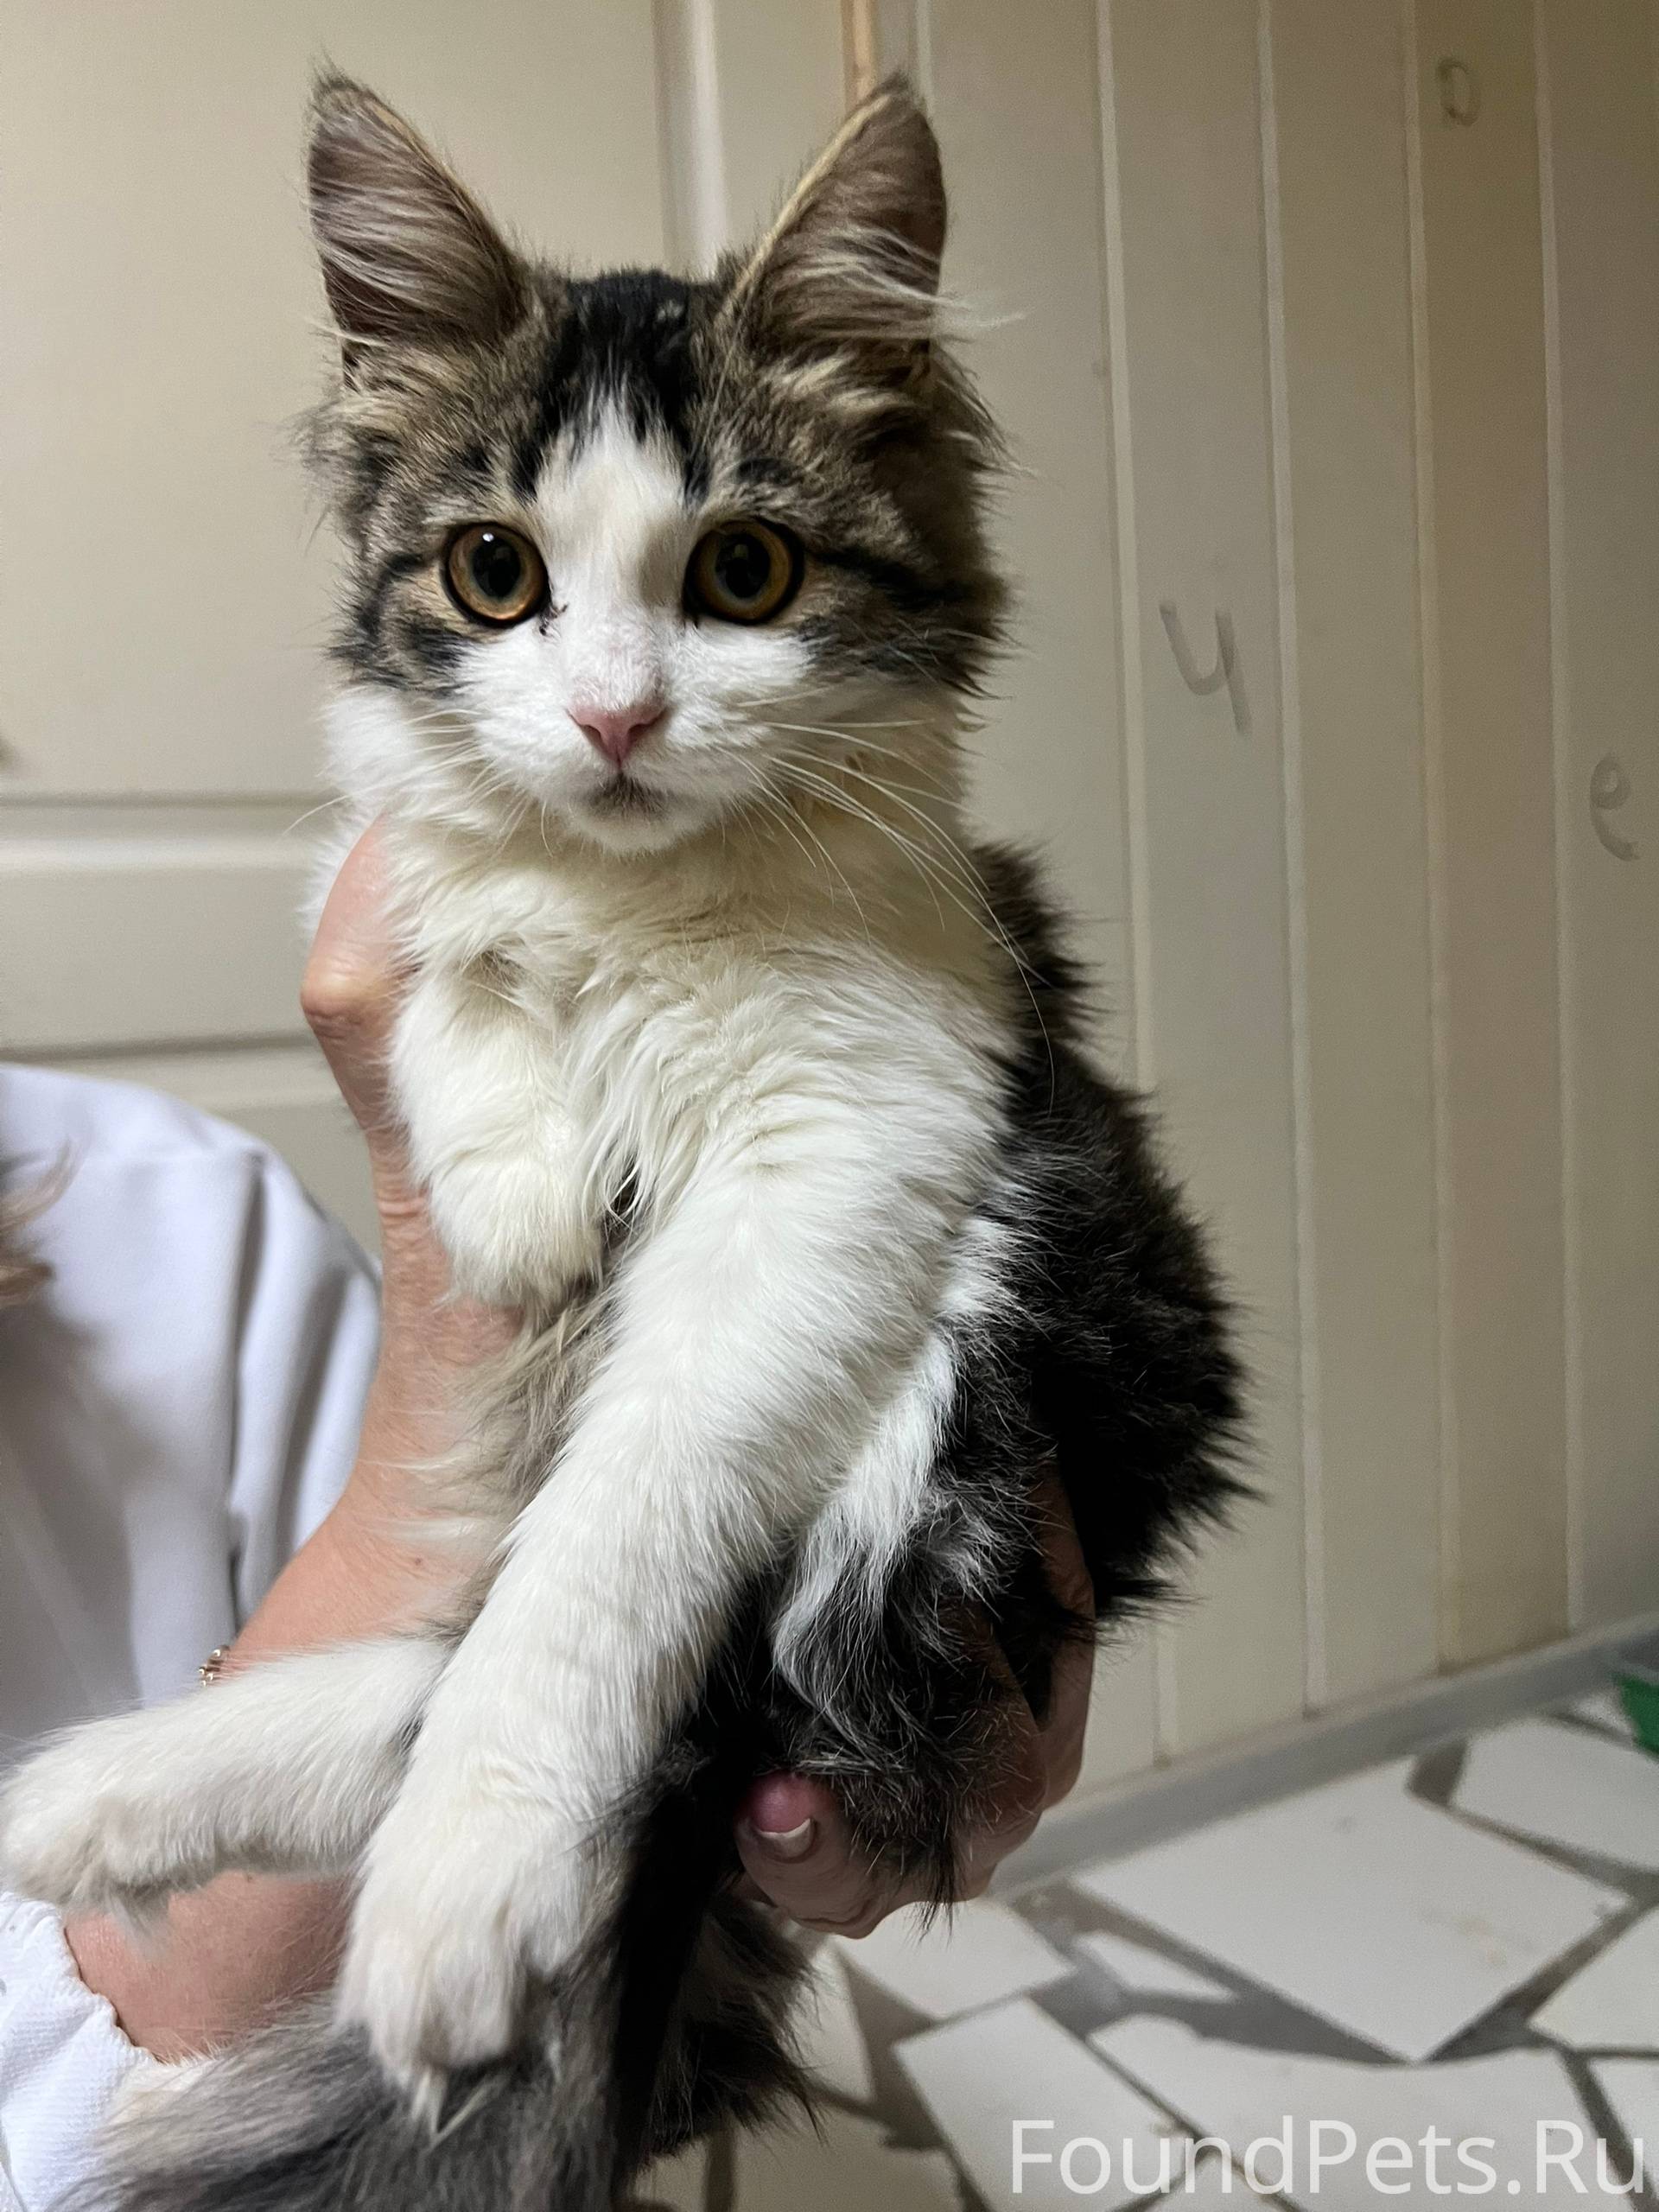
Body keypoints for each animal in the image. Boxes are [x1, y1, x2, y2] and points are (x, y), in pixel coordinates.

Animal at [0, 72, 1241, 2212]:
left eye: (743, 573)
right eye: (495, 574)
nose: (611, 719)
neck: (641, 905)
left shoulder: (858, 1153)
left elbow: (603, 1549)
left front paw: (475, 1873)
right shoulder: (392, 886)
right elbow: (453, 945)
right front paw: (513, 1182)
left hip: (960, 1403)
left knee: (573, 1656)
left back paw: (364, 1875)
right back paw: (118, 1787)